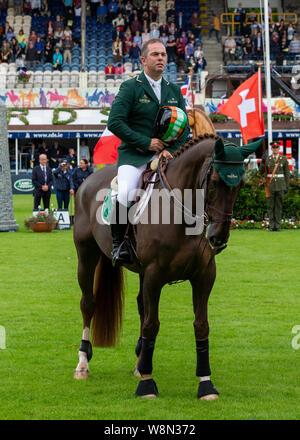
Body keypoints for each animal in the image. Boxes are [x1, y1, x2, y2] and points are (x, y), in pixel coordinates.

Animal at [72, 134, 260, 398]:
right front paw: (147, 384)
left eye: (241, 183)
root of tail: (88, 180)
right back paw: (82, 365)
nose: (218, 238)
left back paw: (139, 364)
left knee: (141, 306)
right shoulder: (154, 275)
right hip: (86, 254)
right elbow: (152, 325)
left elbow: (201, 326)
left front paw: (206, 384)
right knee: (88, 303)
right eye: (214, 182)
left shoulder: (204, 277)